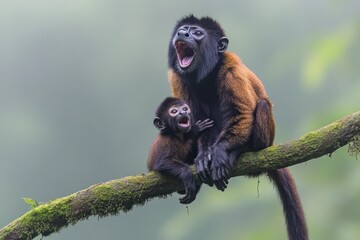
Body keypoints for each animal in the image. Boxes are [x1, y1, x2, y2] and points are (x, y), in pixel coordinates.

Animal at [167, 15, 308, 240]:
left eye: (197, 33)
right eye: (183, 29)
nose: (183, 33)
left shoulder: (231, 69)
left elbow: (242, 113)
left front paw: (219, 155)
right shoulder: (178, 78)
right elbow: (195, 123)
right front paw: (203, 156)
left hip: (265, 138)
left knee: (261, 106)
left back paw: (240, 150)